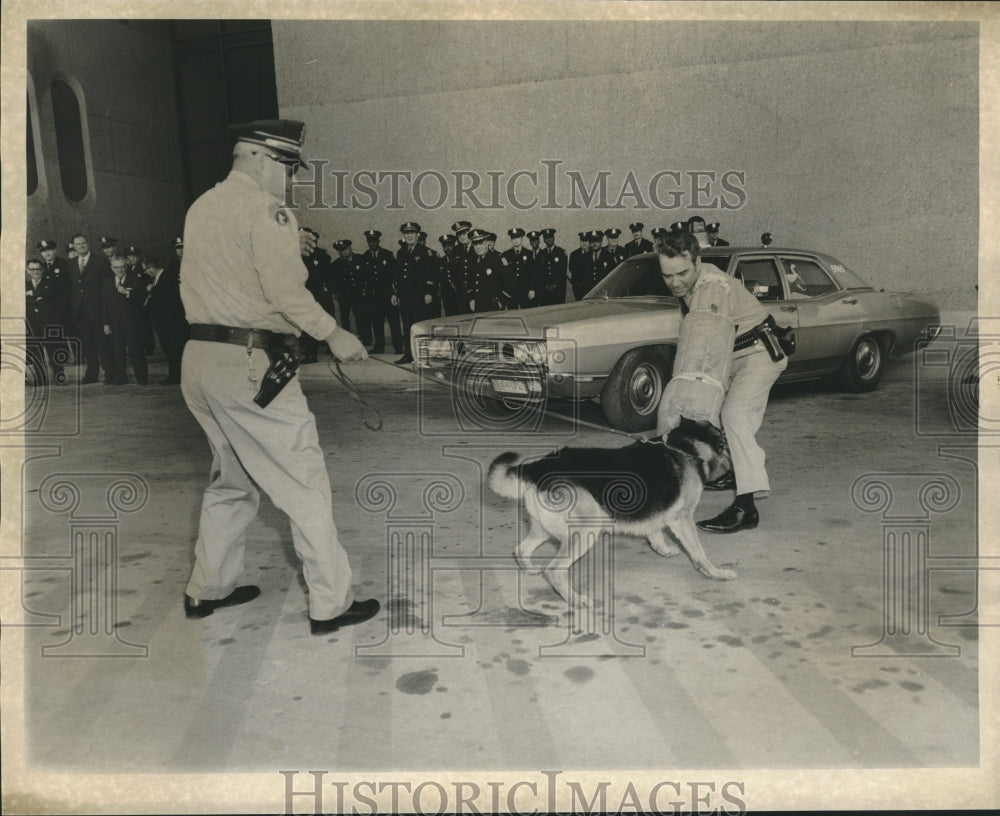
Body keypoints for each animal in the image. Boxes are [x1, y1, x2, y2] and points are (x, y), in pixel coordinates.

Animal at [490, 420, 736, 604]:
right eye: (726, 440)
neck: (684, 446)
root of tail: (538, 467)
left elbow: (654, 531)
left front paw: (662, 549)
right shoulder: (683, 518)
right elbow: (699, 552)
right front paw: (715, 573)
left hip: (545, 528)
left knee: (521, 549)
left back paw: (531, 570)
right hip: (586, 530)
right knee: (553, 570)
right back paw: (576, 600)